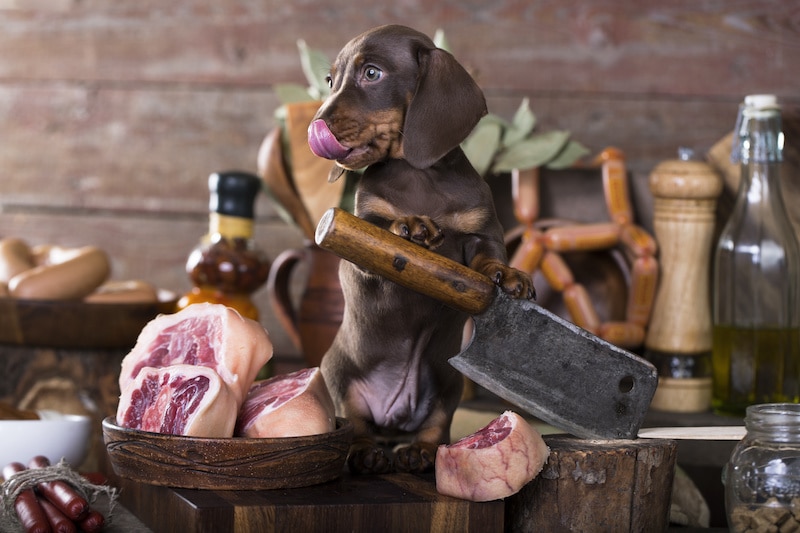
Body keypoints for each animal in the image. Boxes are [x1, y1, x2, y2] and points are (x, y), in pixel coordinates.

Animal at [310, 25, 536, 474]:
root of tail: (393, 416)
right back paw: (364, 451)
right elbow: (382, 226)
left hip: (448, 385)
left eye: (372, 73)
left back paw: (421, 451)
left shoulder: (482, 230)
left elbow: (488, 255)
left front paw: (508, 275)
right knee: (355, 424)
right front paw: (410, 225)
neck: (418, 175)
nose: (316, 123)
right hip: (340, 378)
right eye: (329, 80)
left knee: (435, 426)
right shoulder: (361, 236)